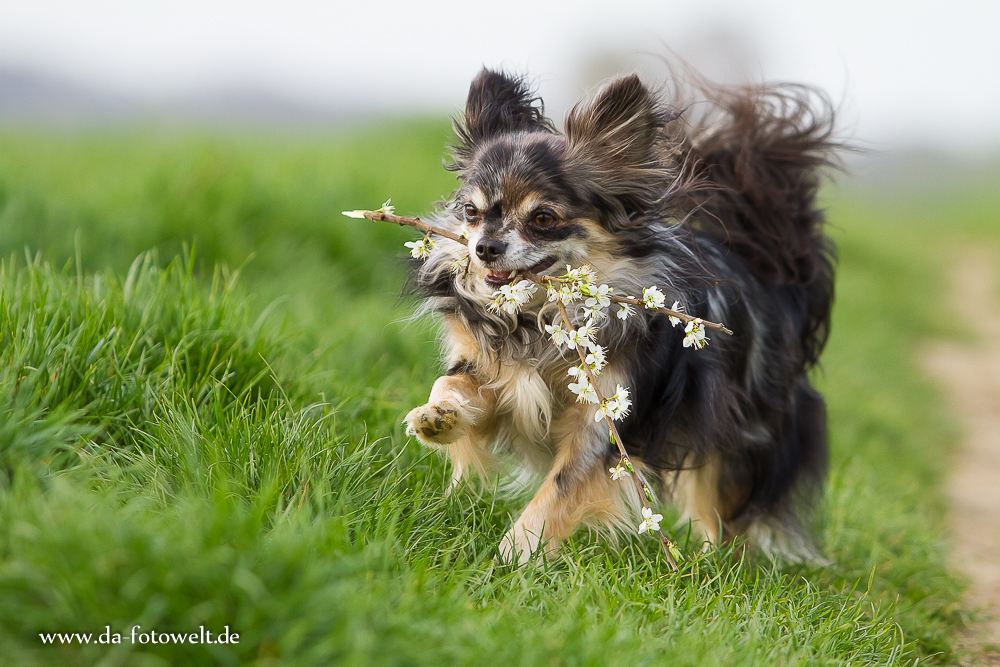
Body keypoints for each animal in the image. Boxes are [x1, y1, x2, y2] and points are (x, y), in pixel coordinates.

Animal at [398, 68, 836, 568]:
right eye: (470, 212)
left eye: (543, 218)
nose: (484, 247)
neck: (541, 318)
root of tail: (763, 264)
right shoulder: (496, 373)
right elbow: (454, 383)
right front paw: (439, 417)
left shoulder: (604, 421)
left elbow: (558, 491)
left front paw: (516, 556)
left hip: (738, 439)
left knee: (724, 513)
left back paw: (712, 567)